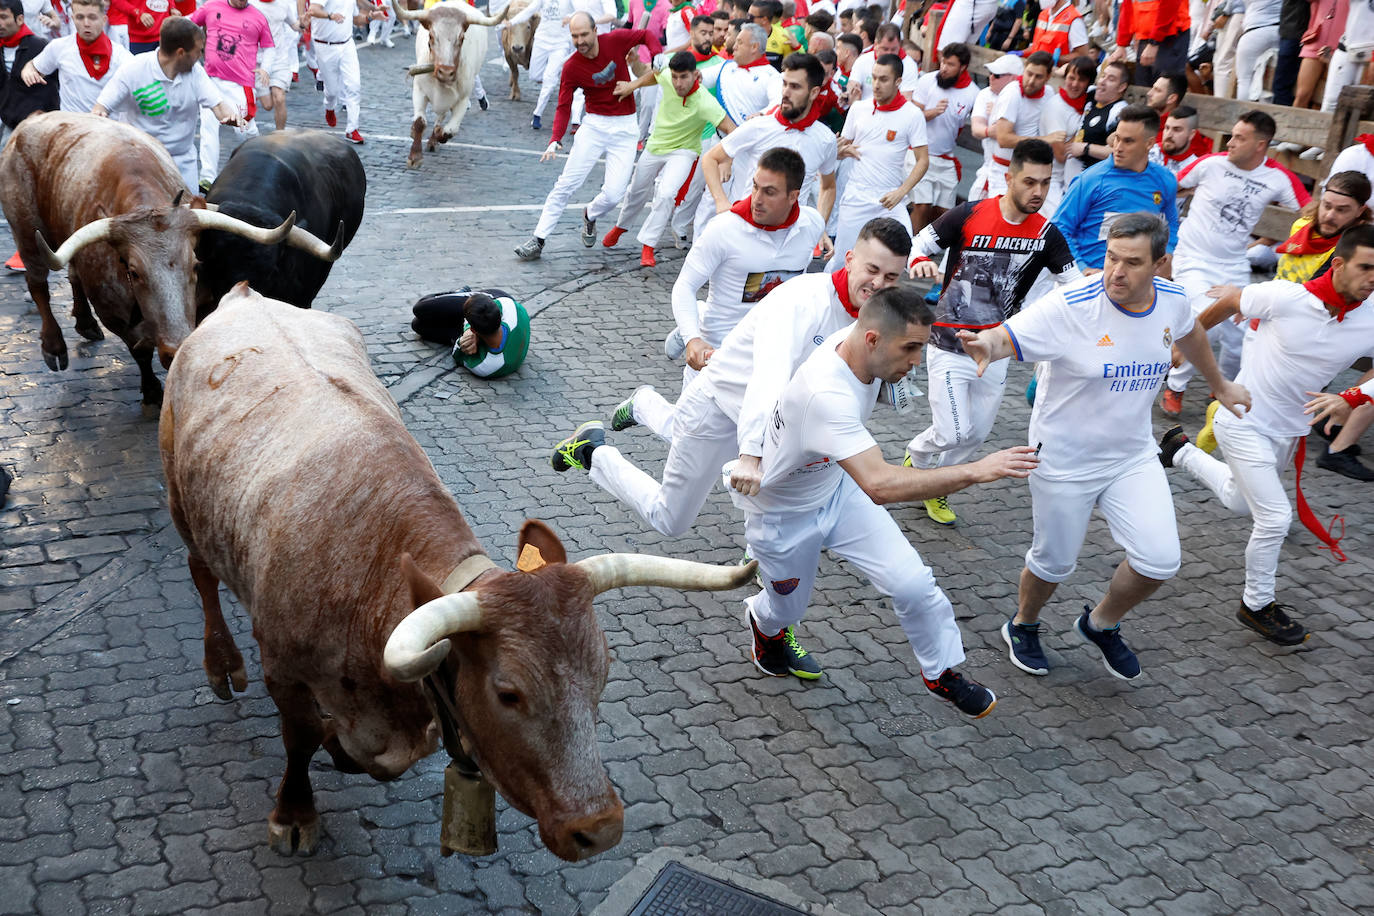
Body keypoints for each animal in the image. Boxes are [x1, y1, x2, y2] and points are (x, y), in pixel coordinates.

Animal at [395, 0, 508, 168]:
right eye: (431, 35)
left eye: (461, 38)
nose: (446, 72)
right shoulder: (419, 91)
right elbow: (420, 122)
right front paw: (415, 156)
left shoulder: (462, 99)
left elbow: (450, 130)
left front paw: (437, 135)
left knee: (441, 117)